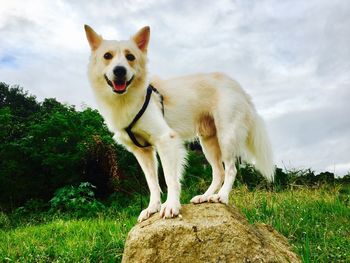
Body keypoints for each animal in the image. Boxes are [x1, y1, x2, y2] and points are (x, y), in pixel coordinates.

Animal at [84, 24, 274, 223]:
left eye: (130, 57)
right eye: (107, 56)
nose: (119, 70)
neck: (127, 99)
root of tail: (239, 88)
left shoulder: (166, 140)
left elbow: (170, 179)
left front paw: (171, 206)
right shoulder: (142, 151)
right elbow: (152, 183)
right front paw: (152, 208)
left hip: (227, 136)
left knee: (230, 170)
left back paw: (221, 196)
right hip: (208, 142)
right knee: (219, 172)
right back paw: (205, 196)